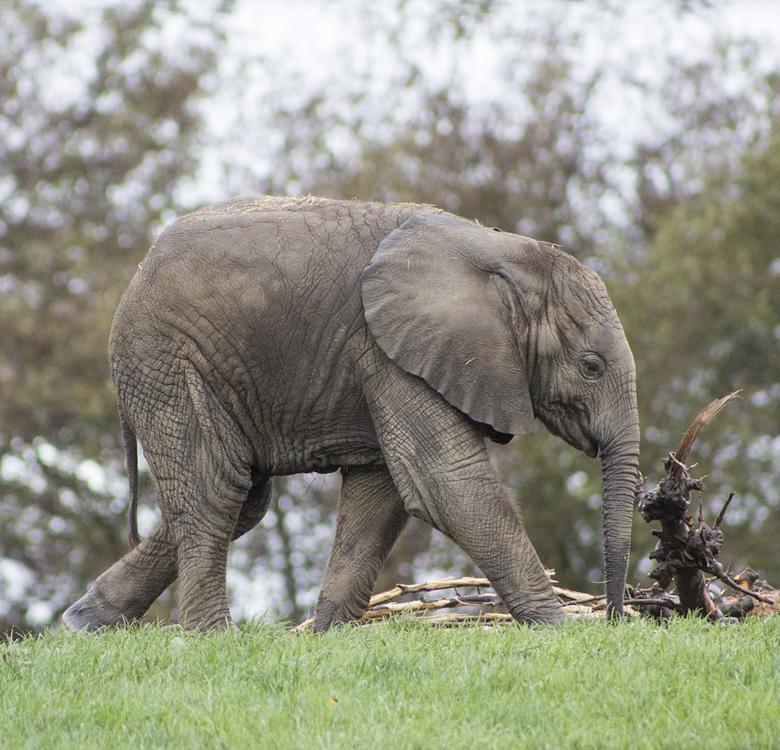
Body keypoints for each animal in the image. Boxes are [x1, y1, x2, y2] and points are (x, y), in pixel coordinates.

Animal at [62, 195, 640, 632]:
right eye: (591, 367)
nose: (616, 616)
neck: (506, 252)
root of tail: (135, 276)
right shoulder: (389, 351)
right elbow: (447, 483)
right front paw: (560, 630)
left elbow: (380, 496)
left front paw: (327, 636)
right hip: (168, 360)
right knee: (217, 488)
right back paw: (213, 637)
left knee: (241, 496)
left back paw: (84, 622)